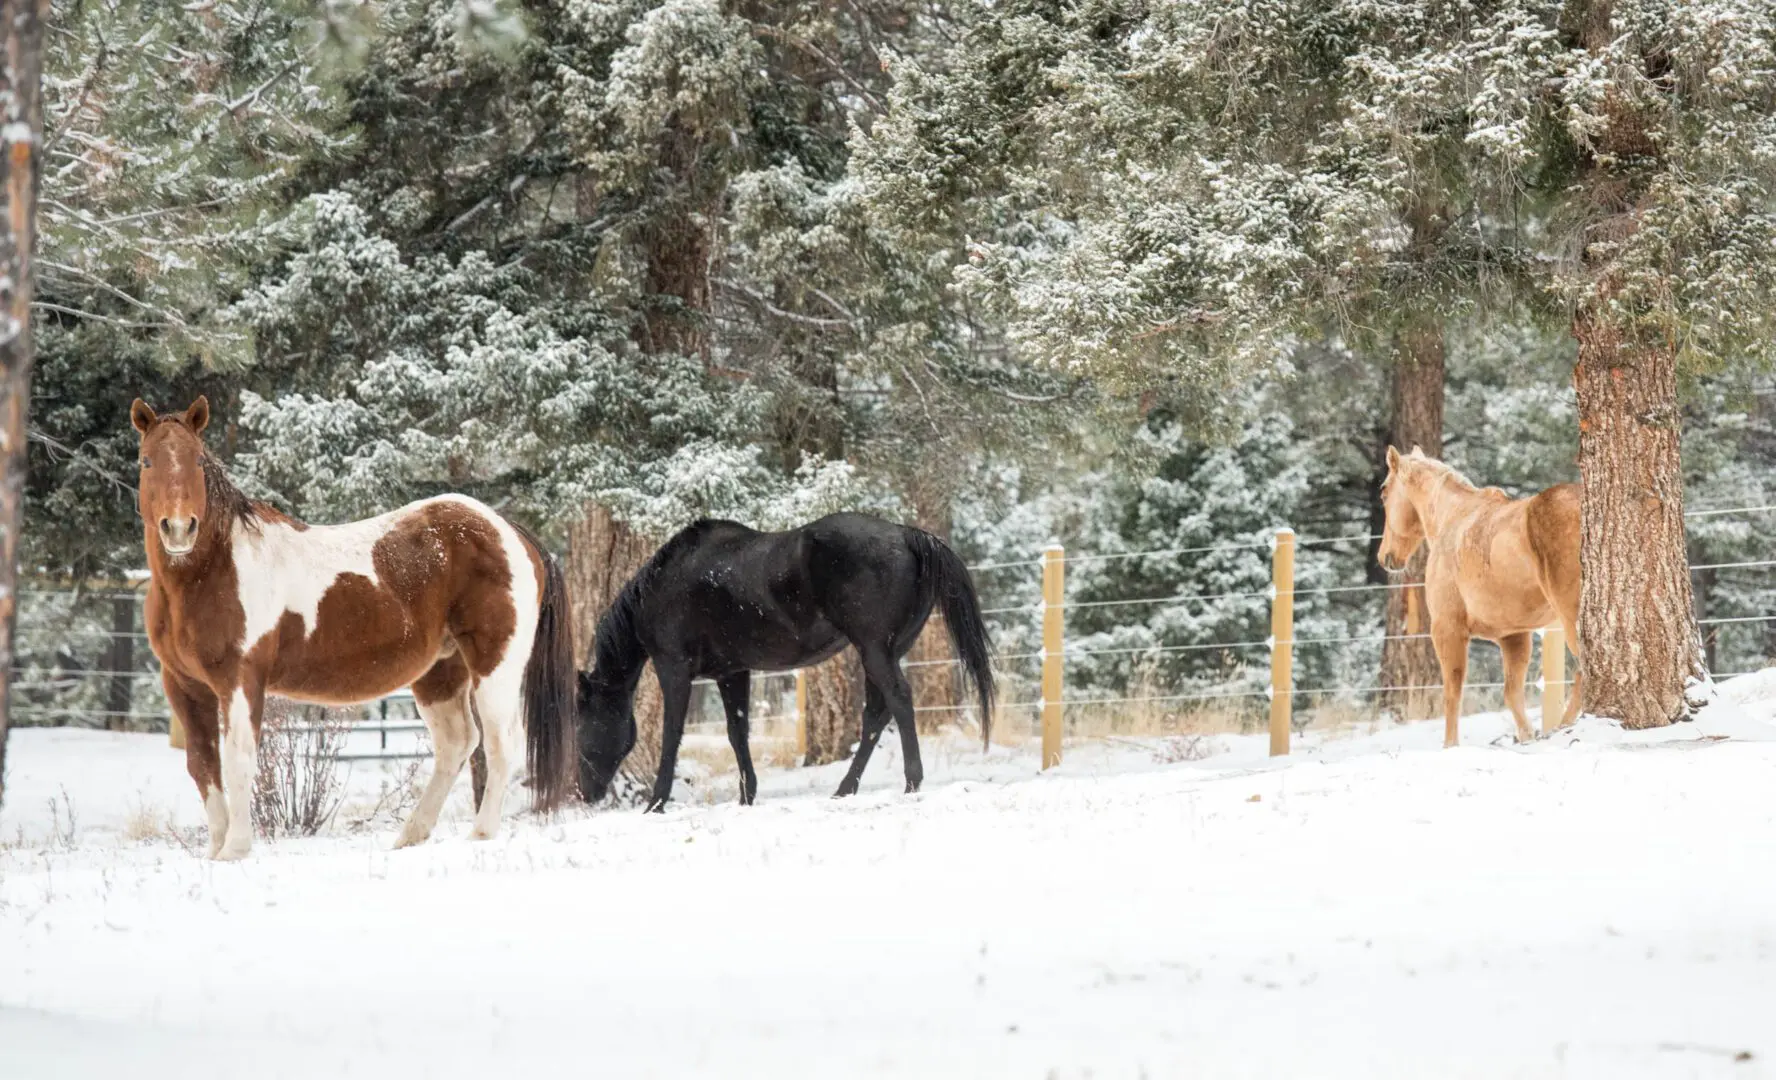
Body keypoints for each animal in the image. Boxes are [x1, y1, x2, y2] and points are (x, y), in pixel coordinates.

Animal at [131, 396, 575, 859]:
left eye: (198, 460)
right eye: (146, 460)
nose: (178, 528)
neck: (211, 572)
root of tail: (511, 533)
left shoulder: (239, 679)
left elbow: (237, 760)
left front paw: (236, 849)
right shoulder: (184, 685)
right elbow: (202, 765)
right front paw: (216, 851)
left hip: (495, 667)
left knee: (500, 744)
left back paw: (481, 834)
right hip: (440, 672)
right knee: (457, 743)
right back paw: (411, 835)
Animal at [582, 515, 1001, 810]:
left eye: (584, 724)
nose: (585, 793)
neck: (666, 586)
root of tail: (904, 534)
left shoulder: (674, 669)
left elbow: (672, 734)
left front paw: (656, 802)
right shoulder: (732, 673)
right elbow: (737, 732)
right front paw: (746, 796)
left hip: (874, 650)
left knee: (898, 701)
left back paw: (911, 781)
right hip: (886, 652)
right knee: (875, 715)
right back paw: (845, 789)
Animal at [1371, 442, 1584, 746]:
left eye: (1384, 491)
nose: (1385, 557)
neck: (1454, 518)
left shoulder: (1447, 630)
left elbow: (1452, 694)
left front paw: (1450, 746)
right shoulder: (1514, 637)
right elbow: (1512, 695)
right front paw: (1527, 738)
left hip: (1571, 615)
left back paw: (1562, 728)